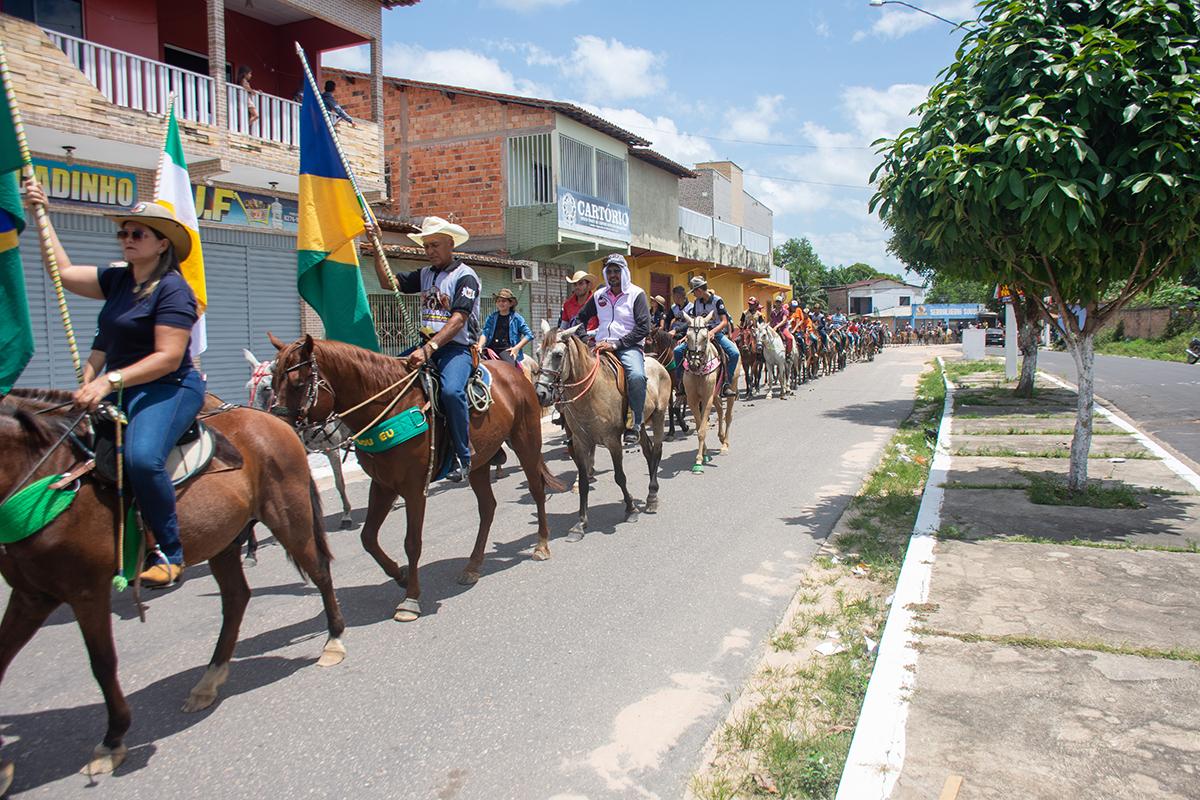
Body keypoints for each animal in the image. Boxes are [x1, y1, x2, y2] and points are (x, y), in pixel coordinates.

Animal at [1, 391, 348, 786]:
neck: (47, 478)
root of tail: (273, 421)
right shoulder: (31, 595)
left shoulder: (86, 590)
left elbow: (102, 663)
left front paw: (112, 740)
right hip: (223, 537)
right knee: (237, 597)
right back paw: (209, 680)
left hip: (288, 515)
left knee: (319, 572)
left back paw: (334, 640)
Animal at [272, 335, 561, 623]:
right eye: (273, 380)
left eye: (298, 383)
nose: (279, 430)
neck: (387, 406)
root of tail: (517, 375)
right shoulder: (383, 485)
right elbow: (368, 537)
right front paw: (398, 574)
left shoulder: (413, 488)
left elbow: (412, 543)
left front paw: (410, 599)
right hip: (479, 461)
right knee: (488, 507)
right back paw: (473, 565)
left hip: (526, 441)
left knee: (536, 490)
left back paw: (541, 545)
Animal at [537, 321, 672, 542]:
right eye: (538, 352)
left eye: (557, 355)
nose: (541, 394)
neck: (590, 393)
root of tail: (657, 364)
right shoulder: (581, 443)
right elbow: (584, 482)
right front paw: (580, 524)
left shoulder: (612, 441)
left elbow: (619, 476)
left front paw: (630, 509)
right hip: (641, 424)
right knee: (648, 451)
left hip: (659, 417)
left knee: (658, 451)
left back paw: (652, 497)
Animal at [681, 311, 734, 474]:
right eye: (687, 336)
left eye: (705, 337)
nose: (693, 364)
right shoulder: (693, 399)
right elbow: (699, 426)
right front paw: (704, 454)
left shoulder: (707, 398)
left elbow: (702, 430)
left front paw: (698, 461)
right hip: (716, 394)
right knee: (720, 411)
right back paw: (721, 437)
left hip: (731, 387)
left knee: (728, 415)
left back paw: (725, 445)